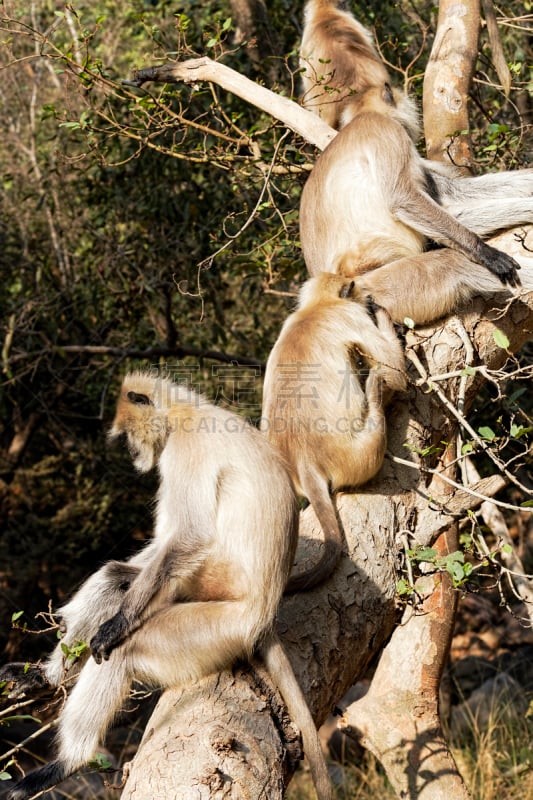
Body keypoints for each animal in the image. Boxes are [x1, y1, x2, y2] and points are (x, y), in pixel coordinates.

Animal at [1, 374, 332, 800]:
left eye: (127, 436)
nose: (131, 452)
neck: (186, 411)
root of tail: (264, 616)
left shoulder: (186, 447)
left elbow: (188, 536)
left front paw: (116, 626)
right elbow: (160, 547)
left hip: (220, 621)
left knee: (123, 650)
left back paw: (67, 762)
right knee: (115, 577)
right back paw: (45, 678)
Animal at [260, 272, 404, 592]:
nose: (368, 297)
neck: (316, 308)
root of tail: (303, 460)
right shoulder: (348, 315)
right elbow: (396, 372)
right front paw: (382, 313)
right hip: (358, 455)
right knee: (380, 385)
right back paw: (375, 393)